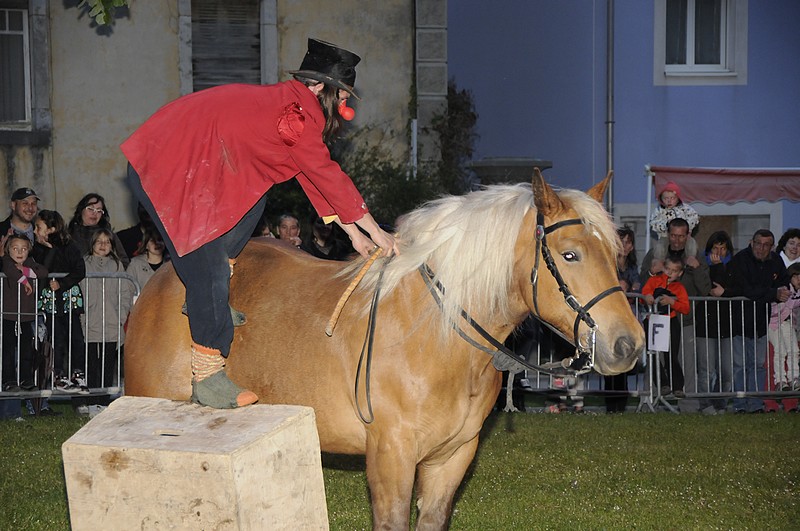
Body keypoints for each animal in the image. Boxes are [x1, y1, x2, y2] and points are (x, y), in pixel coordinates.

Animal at [125, 170, 645, 530]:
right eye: (570, 255)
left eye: (615, 254)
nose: (628, 344)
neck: (434, 336)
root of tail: (158, 283)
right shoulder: (392, 458)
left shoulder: (451, 458)